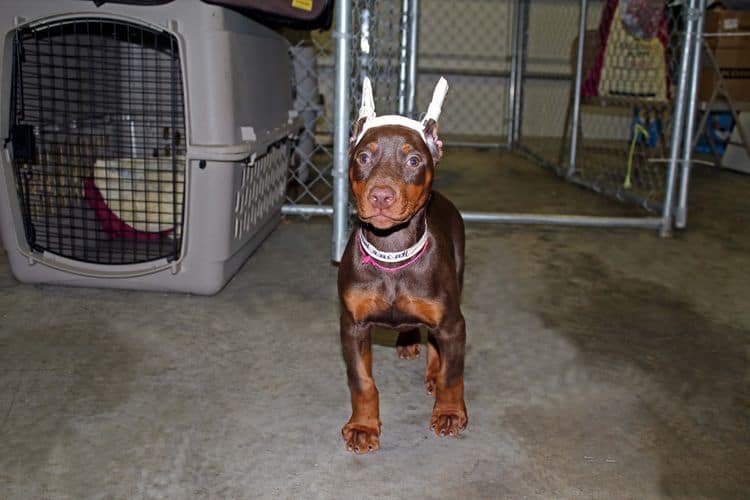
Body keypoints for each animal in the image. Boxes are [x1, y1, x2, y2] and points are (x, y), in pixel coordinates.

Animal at [338, 77, 468, 454]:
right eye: (363, 157)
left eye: (413, 160)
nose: (381, 196)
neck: (392, 256)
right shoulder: (352, 325)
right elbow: (361, 380)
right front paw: (364, 427)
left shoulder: (453, 323)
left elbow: (452, 373)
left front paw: (449, 412)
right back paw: (407, 340)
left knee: (437, 344)